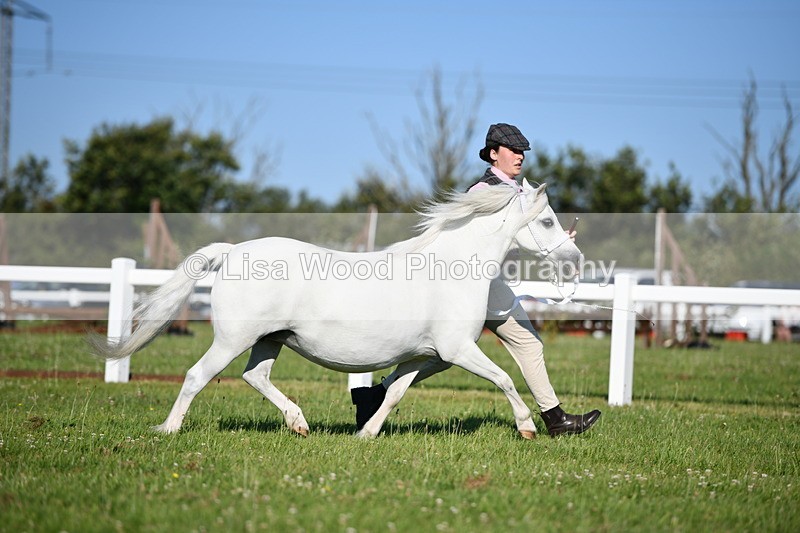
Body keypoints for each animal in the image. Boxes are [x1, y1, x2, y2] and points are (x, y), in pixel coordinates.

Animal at [95, 180, 582, 439]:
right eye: (546, 220)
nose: (575, 261)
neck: (450, 269)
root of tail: (232, 252)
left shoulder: (424, 355)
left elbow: (395, 392)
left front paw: (366, 433)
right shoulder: (457, 349)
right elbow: (505, 379)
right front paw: (528, 427)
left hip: (270, 340)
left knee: (256, 377)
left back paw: (299, 423)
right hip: (233, 339)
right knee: (198, 376)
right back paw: (168, 430)